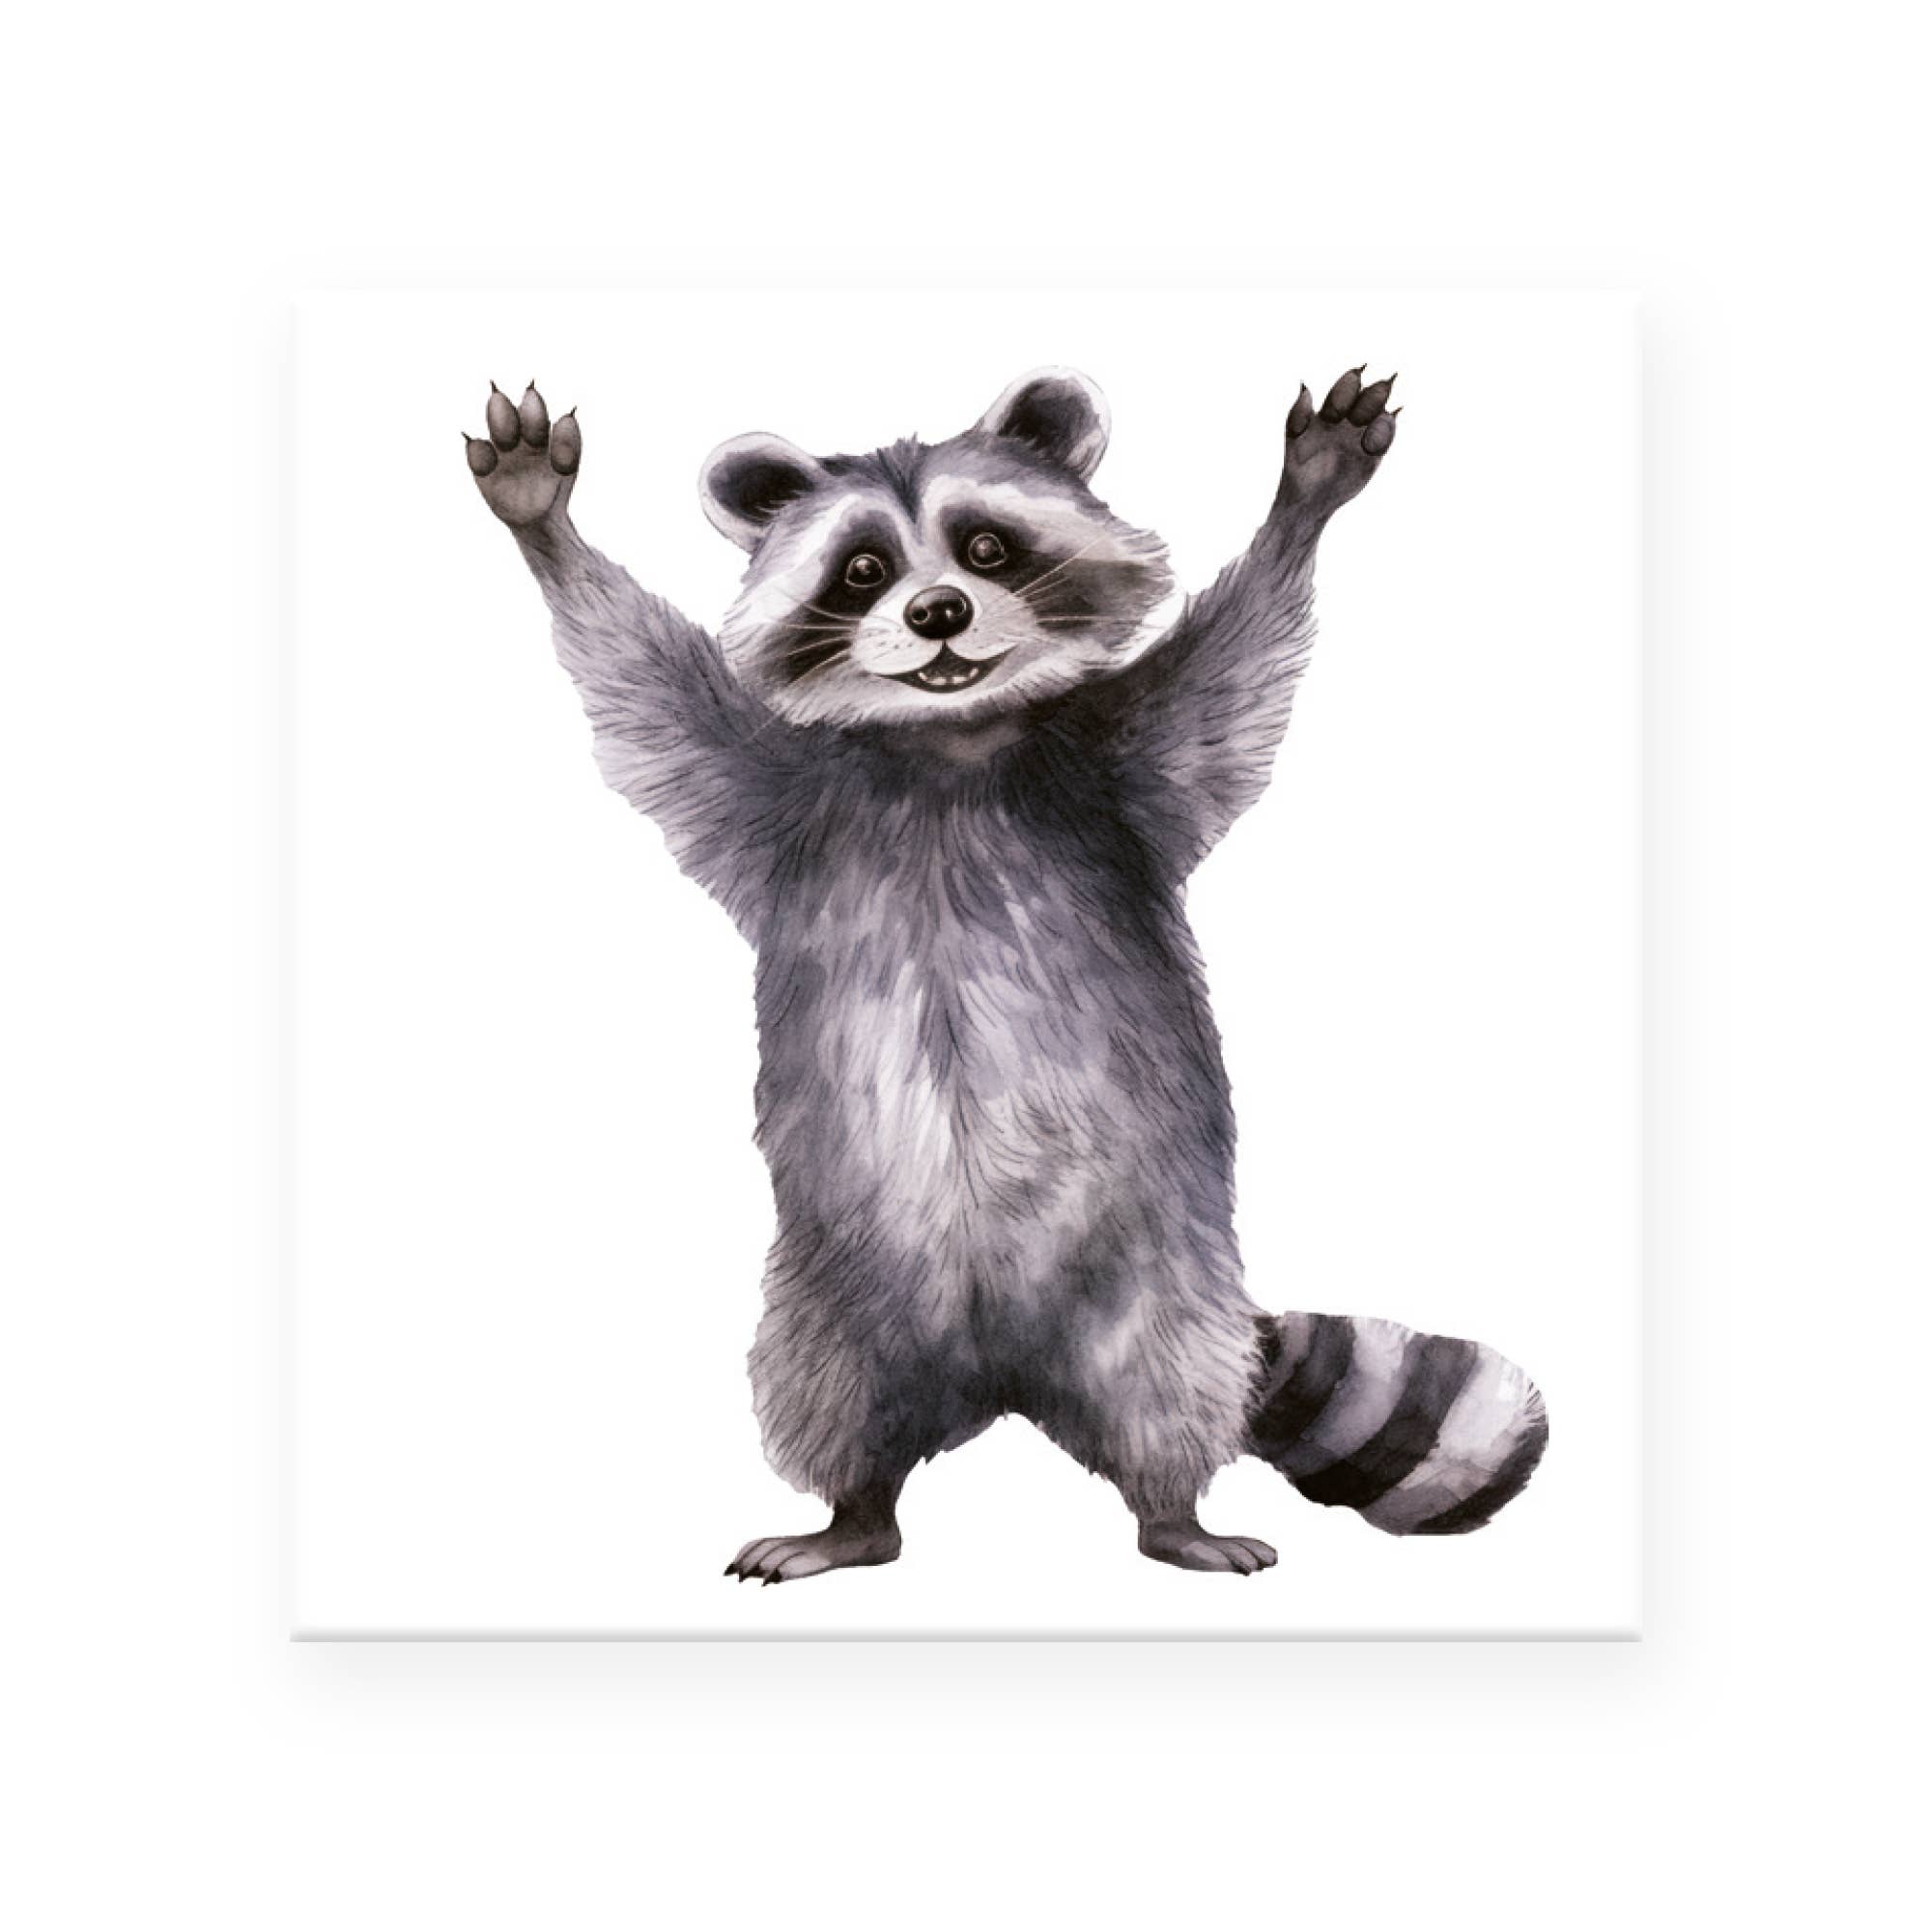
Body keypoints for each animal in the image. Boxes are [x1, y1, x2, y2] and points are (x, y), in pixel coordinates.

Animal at [464, 364, 1547, 1581]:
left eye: (984, 547)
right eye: (862, 569)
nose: (937, 613)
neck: (950, 740)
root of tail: (1004, 1375)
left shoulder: (1124, 773)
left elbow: (1234, 662)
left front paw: (1299, 508)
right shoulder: (775, 795)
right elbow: (641, 676)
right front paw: (545, 530)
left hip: (1154, 1280)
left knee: (1167, 1387)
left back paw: (1171, 1509)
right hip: (833, 1295)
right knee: (825, 1391)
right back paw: (853, 1511)